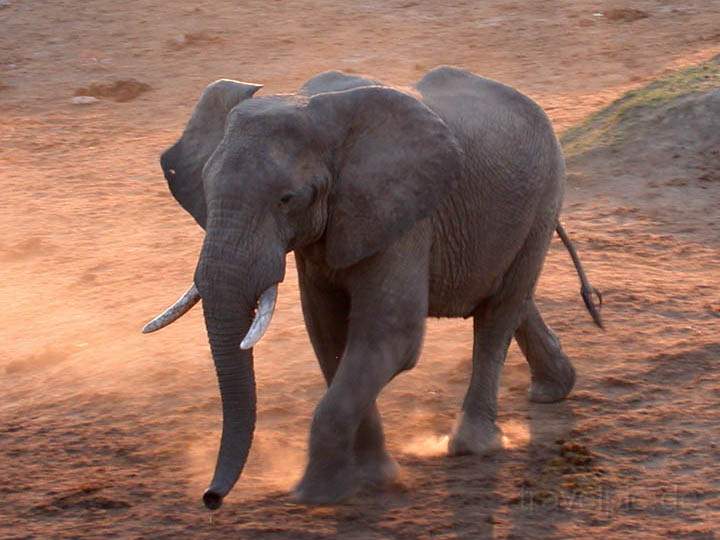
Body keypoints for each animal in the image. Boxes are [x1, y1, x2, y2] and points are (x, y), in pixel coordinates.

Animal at [145, 67, 600, 510]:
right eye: (206, 189)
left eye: (287, 199)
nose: (211, 499)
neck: (312, 108)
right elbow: (329, 336)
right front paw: (374, 478)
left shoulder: (404, 214)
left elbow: (389, 337)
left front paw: (318, 494)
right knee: (509, 300)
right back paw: (552, 391)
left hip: (545, 194)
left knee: (498, 314)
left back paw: (473, 445)